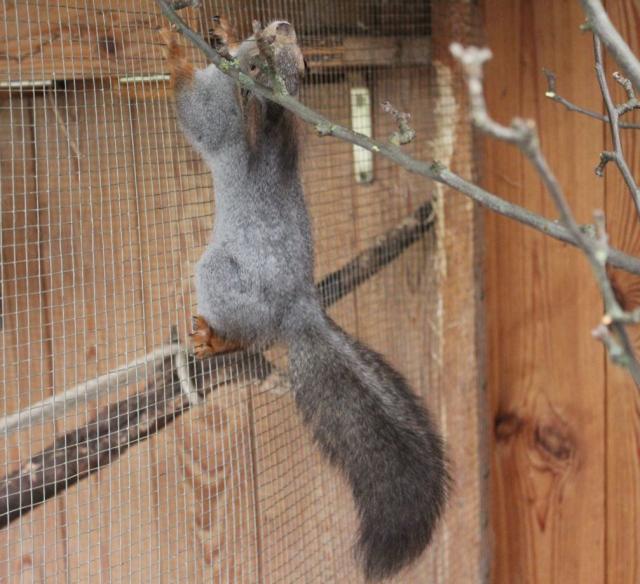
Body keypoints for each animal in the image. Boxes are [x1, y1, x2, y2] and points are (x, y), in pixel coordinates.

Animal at [161, 20, 449, 581]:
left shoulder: (224, 117)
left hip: (221, 277)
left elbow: (194, 111)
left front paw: (173, 46)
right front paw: (220, 27)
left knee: (247, 334)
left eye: (272, 53)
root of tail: (298, 308)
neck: (262, 99)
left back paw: (216, 340)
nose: (283, 25)